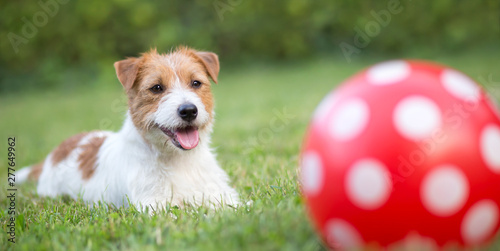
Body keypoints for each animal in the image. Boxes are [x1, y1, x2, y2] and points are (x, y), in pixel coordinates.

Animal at [16, 46, 239, 211]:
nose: (189, 111)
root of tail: (57, 152)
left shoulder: (220, 194)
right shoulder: (154, 205)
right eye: (157, 88)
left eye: (196, 83)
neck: (179, 160)